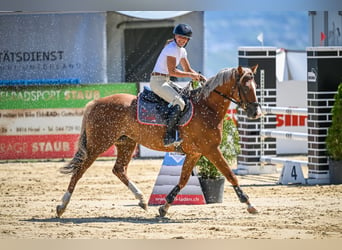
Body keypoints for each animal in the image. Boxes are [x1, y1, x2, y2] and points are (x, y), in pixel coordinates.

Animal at [56, 64, 260, 217]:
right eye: (245, 87)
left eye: (256, 86)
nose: (256, 112)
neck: (207, 107)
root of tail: (95, 103)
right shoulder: (211, 150)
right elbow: (230, 174)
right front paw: (248, 203)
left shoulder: (195, 153)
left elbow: (183, 179)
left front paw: (164, 207)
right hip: (98, 144)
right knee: (79, 171)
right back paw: (62, 206)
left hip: (126, 143)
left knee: (119, 170)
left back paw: (141, 200)